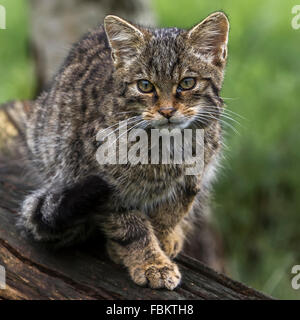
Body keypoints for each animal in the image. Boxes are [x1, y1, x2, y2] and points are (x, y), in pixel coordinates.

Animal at [14, 11, 230, 290]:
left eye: (187, 82)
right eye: (145, 85)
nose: (167, 111)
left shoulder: (194, 177)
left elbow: (170, 214)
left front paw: (164, 239)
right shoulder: (107, 187)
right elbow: (131, 229)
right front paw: (151, 263)